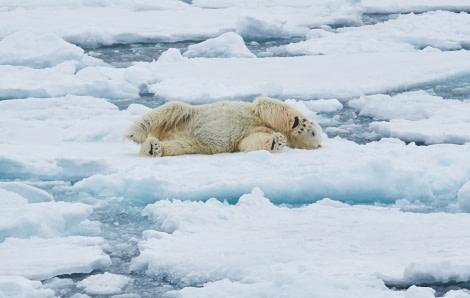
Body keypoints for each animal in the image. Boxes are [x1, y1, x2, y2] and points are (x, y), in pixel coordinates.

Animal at [124, 96, 324, 157]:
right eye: (315, 133)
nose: (311, 130)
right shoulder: (256, 113)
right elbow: (265, 104)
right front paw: (300, 123)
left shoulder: (257, 130)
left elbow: (250, 141)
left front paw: (276, 141)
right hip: (186, 116)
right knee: (171, 108)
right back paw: (134, 133)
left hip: (191, 143)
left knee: (176, 146)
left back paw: (153, 148)